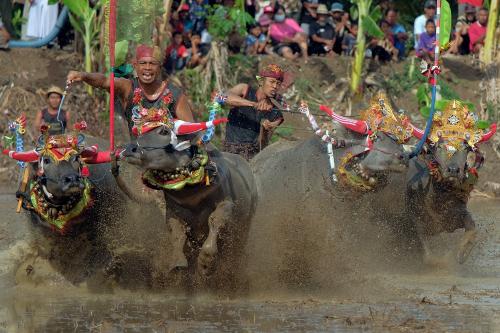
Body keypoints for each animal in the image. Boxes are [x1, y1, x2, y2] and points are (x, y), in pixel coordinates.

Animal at [117, 118, 258, 290]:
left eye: (164, 131)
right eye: (140, 132)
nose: (129, 149)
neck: (191, 191)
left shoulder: (225, 203)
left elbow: (215, 221)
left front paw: (206, 261)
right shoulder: (173, 210)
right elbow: (178, 233)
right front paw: (177, 262)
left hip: (243, 232)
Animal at [406, 100, 496, 264]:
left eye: (465, 147)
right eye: (439, 146)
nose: (453, 170)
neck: (439, 202)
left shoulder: (457, 214)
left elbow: (472, 227)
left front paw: (462, 253)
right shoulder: (417, 222)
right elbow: (427, 253)